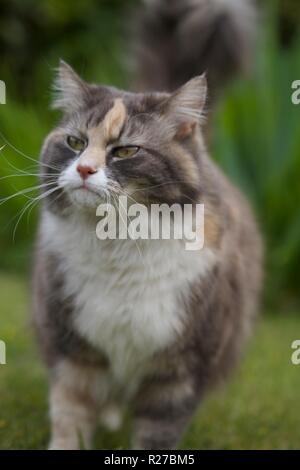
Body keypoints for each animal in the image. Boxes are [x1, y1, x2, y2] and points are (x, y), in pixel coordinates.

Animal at [33, 0, 262, 450]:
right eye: (75, 143)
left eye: (125, 151)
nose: (84, 169)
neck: (118, 246)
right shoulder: (74, 353)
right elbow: (70, 417)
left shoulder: (178, 373)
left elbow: (156, 433)